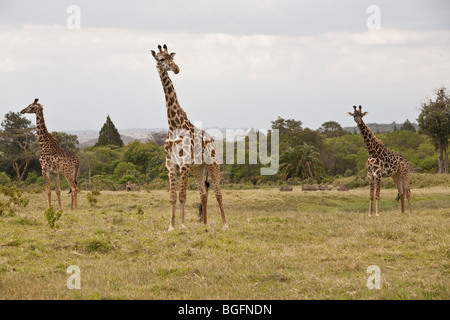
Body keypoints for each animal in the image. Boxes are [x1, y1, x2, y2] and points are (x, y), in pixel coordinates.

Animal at [150, 44, 229, 230]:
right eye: (161, 59)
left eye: (172, 58)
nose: (177, 69)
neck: (173, 124)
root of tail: (213, 141)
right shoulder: (170, 163)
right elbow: (172, 197)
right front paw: (171, 226)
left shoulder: (184, 163)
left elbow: (182, 196)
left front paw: (182, 225)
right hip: (198, 168)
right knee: (203, 193)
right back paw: (205, 224)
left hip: (213, 164)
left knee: (218, 193)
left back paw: (225, 225)